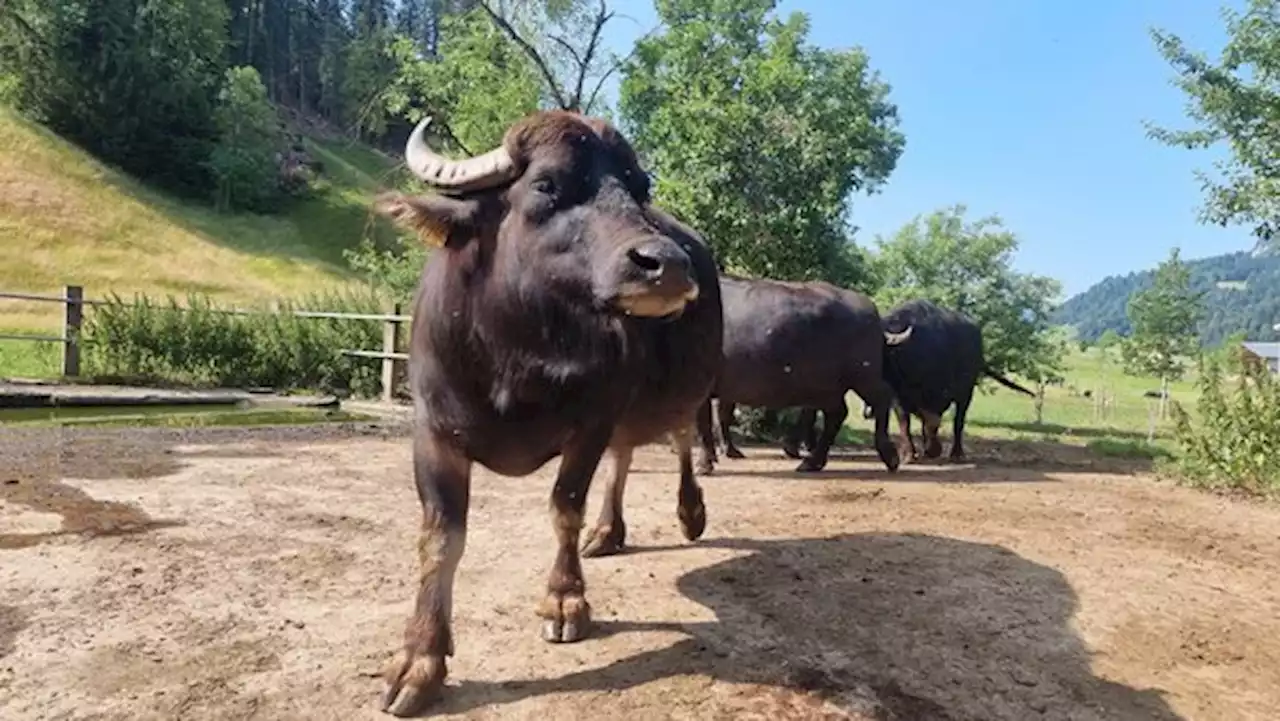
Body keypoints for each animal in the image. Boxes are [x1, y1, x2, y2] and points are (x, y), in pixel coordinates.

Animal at [373, 110, 727, 712]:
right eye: (546, 186)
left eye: (639, 188)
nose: (668, 266)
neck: (515, 354)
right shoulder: (433, 431)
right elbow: (441, 537)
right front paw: (420, 658)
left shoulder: (592, 421)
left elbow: (564, 508)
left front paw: (565, 601)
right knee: (625, 458)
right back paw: (609, 531)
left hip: (681, 393)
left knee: (680, 436)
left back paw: (689, 511)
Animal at [691, 279, 911, 476]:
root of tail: (872, 312)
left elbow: (703, 425)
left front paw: (703, 464)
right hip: (829, 387)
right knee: (837, 414)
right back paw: (812, 461)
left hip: (862, 376)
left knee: (881, 399)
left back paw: (890, 455)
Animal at [875, 300, 1034, 463]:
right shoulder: (897, 397)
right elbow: (905, 423)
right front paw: (908, 454)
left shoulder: (939, 394)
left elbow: (932, 421)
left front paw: (933, 450)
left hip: (967, 392)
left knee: (958, 421)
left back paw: (957, 453)